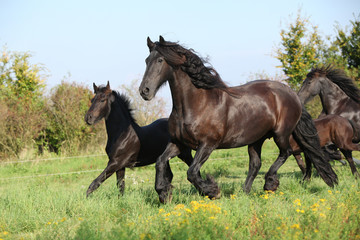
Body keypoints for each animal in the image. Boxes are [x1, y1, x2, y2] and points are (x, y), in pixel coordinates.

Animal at [139, 36, 338, 203]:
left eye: (160, 60)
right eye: (146, 60)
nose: (144, 91)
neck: (197, 104)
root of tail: (292, 94)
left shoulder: (207, 144)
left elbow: (192, 172)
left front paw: (213, 191)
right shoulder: (179, 143)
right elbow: (160, 162)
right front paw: (164, 193)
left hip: (280, 133)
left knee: (285, 153)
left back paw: (270, 184)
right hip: (256, 139)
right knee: (255, 164)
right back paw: (244, 193)